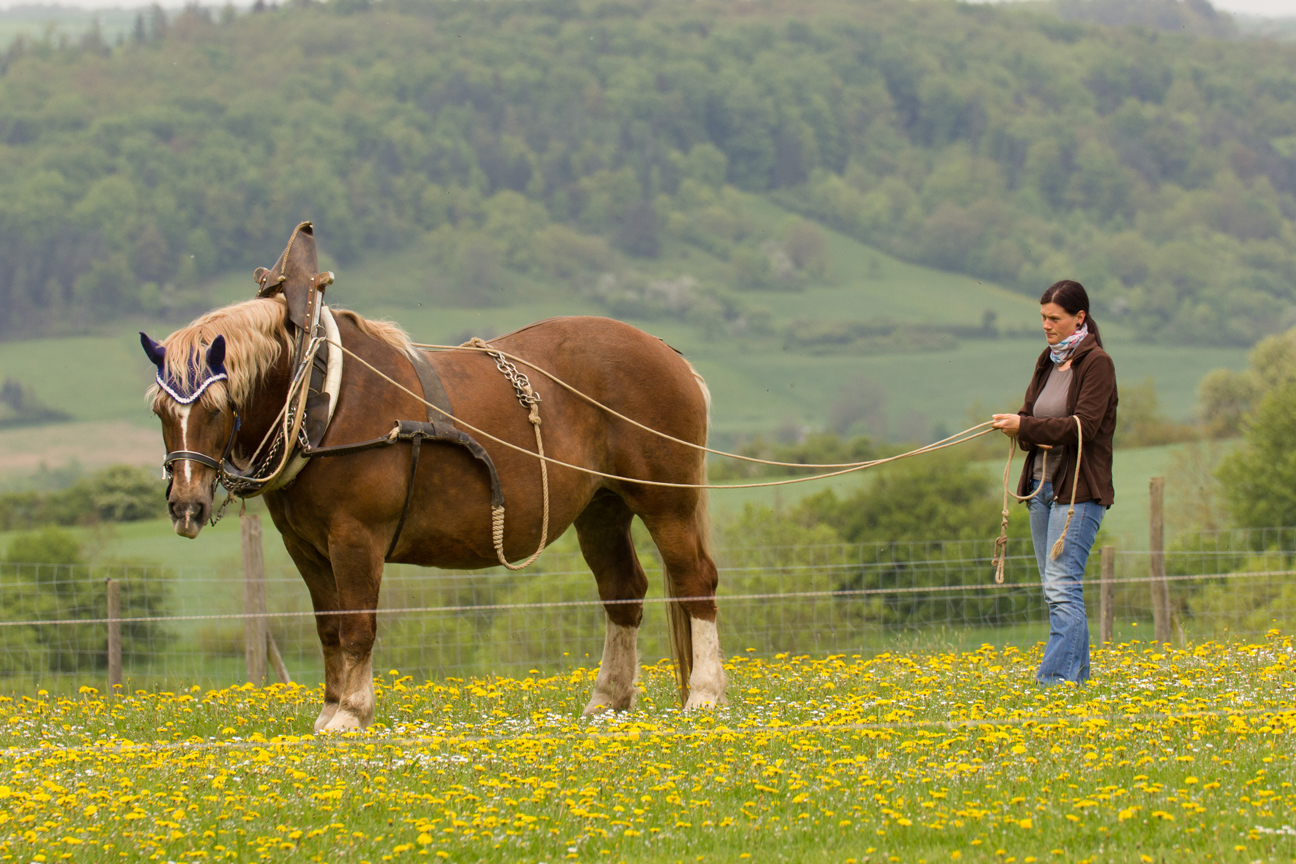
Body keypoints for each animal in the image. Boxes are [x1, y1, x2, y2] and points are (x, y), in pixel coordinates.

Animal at [145, 227, 730, 730]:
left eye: (217, 408)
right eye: (160, 411)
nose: (186, 506)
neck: (319, 393)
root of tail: (669, 354)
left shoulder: (355, 538)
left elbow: (358, 624)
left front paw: (352, 713)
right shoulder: (304, 547)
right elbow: (329, 625)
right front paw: (329, 709)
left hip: (666, 501)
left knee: (696, 579)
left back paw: (703, 693)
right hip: (601, 509)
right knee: (622, 592)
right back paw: (607, 699)